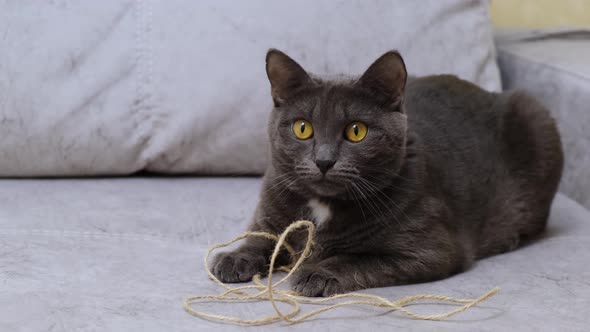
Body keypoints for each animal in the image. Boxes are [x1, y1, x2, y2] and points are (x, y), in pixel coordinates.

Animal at [212, 48, 564, 296]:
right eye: (302, 128)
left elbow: (361, 257)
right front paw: (234, 258)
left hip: (535, 116)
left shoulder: (433, 248)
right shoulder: (272, 207)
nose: (324, 160)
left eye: (356, 131)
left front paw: (317, 273)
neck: (322, 208)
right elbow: (262, 235)